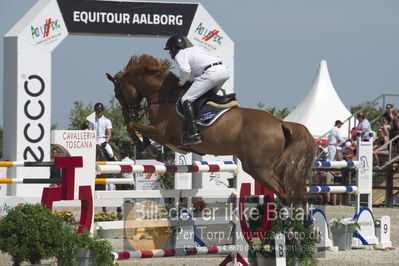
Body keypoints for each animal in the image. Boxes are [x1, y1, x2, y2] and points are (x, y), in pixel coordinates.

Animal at [107, 54, 318, 206]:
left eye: (118, 94)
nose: (129, 115)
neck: (163, 96)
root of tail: (280, 123)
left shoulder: (160, 133)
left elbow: (133, 128)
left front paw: (147, 148)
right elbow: (136, 129)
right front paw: (148, 148)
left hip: (259, 168)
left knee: (286, 194)